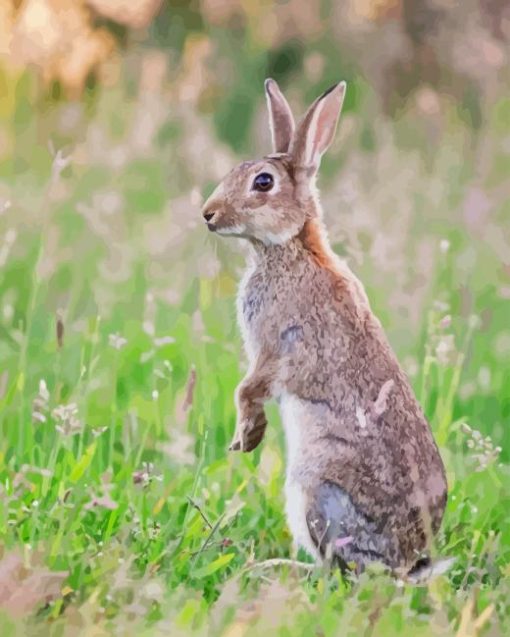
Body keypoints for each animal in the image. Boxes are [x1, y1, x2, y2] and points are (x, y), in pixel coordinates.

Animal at [199, 78, 446, 576]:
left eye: (263, 182)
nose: (208, 214)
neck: (291, 247)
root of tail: (408, 561)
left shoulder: (276, 346)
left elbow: (249, 389)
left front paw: (246, 437)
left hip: (315, 490)